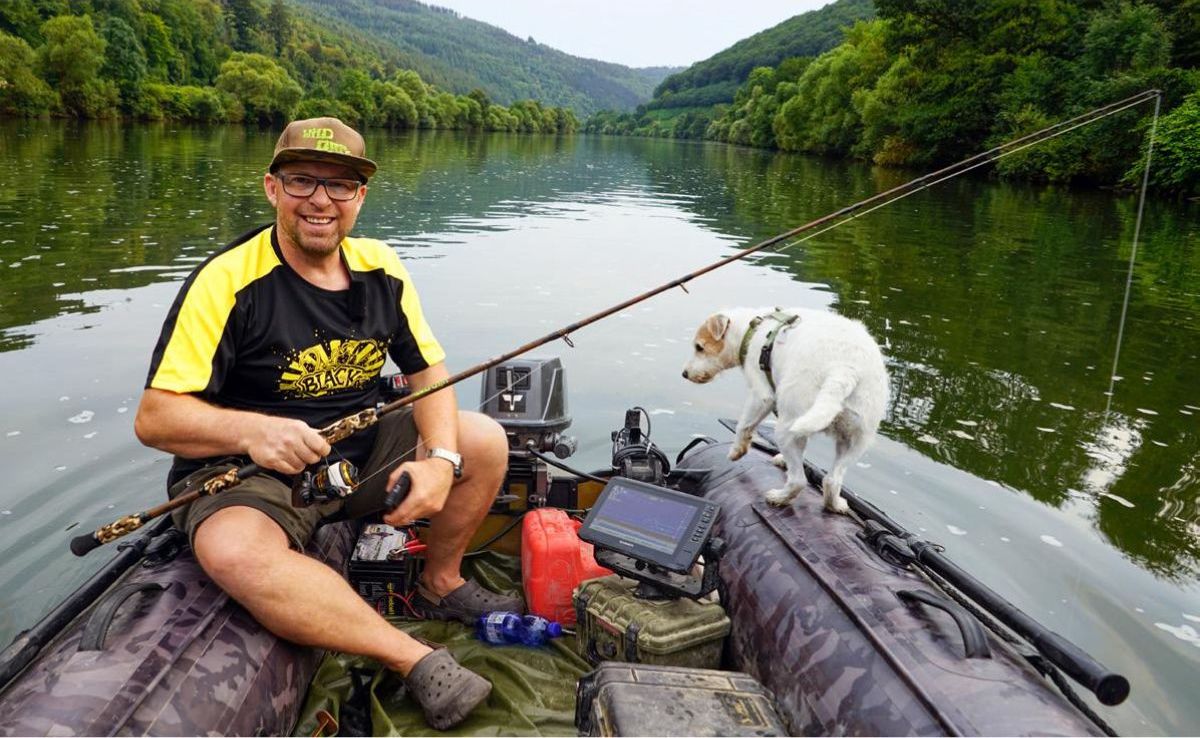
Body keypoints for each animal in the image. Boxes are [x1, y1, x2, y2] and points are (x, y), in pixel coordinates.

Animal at [681, 307, 888, 513]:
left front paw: (737, 450)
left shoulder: (761, 395)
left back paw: (779, 498)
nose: (684, 374)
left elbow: (744, 425)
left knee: (798, 481)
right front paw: (780, 458)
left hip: (787, 427)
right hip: (854, 440)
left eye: (699, 347)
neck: (752, 330)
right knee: (832, 480)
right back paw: (835, 505)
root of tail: (845, 369)